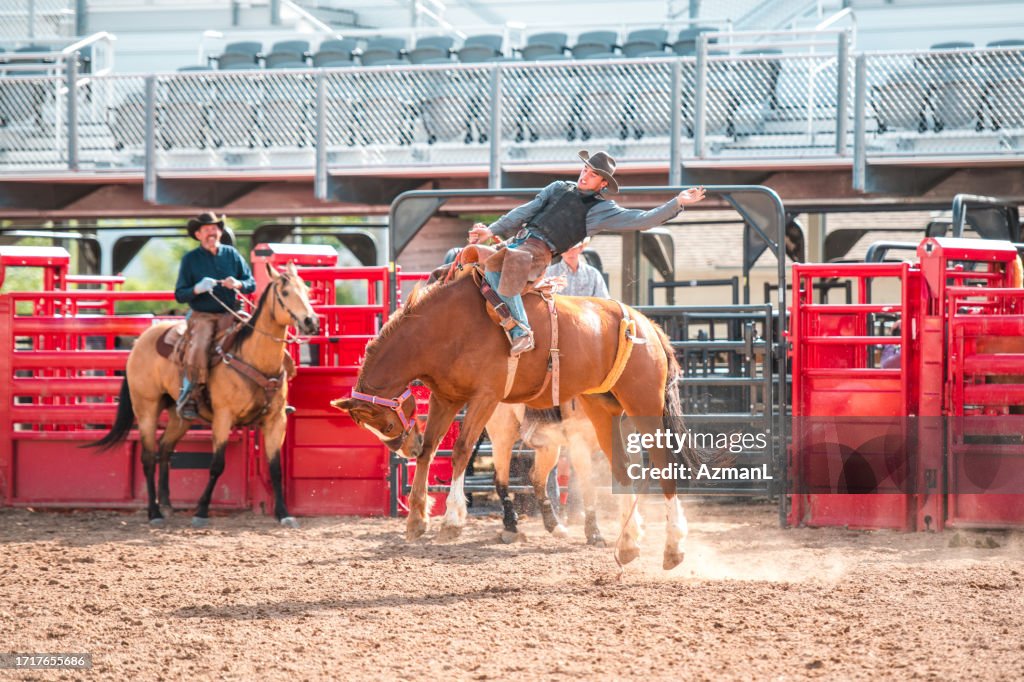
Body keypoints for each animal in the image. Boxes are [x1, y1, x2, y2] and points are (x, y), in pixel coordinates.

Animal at [87, 262, 320, 528]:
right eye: (285, 292)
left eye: (307, 291)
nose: (311, 321)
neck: (254, 358)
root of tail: (139, 342)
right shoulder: (223, 417)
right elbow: (217, 465)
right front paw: (200, 511)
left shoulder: (275, 420)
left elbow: (275, 469)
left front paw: (284, 514)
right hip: (146, 408)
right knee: (148, 457)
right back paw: (154, 513)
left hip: (179, 416)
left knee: (164, 449)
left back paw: (166, 505)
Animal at [485, 401, 607, 546]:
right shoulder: (579, 442)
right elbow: (589, 490)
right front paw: (594, 535)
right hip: (502, 434)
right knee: (501, 481)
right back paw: (510, 528)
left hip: (548, 444)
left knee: (537, 477)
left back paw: (554, 526)